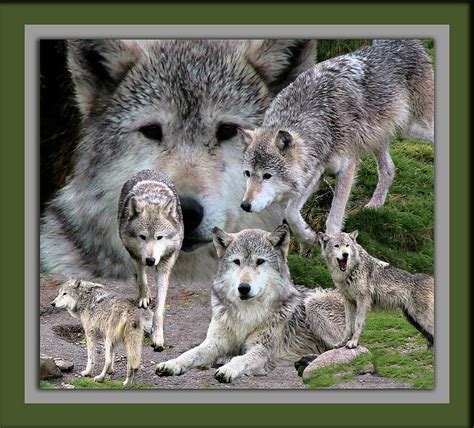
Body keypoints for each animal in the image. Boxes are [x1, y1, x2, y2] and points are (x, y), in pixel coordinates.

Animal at [117, 169, 184, 352]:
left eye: (159, 237)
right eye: (142, 237)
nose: (150, 260)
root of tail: (148, 170)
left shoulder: (165, 265)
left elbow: (160, 308)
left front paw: (158, 337)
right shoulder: (136, 254)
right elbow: (141, 278)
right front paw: (144, 296)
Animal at [156, 224, 344, 384]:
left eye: (260, 261)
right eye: (237, 261)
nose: (243, 288)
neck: (246, 313)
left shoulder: (261, 349)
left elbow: (242, 358)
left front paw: (228, 368)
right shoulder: (214, 342)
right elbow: (190, 353)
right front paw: (172, 363)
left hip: (313, 303)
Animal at [241, 39, 434, 241]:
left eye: (267, 176)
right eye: (247, 173)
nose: (245, 205)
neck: (320, 119)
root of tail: (406, 42)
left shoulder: (347, 168)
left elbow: (334, 218)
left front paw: (333, 243)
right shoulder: (315, 172)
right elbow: (290, 212)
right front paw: (308, 236)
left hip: (414, 128)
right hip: (376, 137)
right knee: (388, 169)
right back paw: (375, 205)